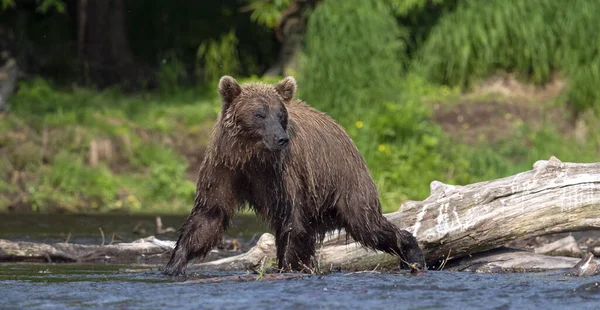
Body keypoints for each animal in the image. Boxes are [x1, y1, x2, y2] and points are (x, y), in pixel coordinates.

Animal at [162, 75, 424, 276]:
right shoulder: (225, 168)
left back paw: (411, 251)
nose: (281, 138)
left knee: (367, 223)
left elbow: (293, 220)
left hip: (344, 180)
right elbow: (209, 215)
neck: (252, 156)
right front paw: (174, 264)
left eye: (280, 115)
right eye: (259, 114)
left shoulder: (284, 173)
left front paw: (287, 267)